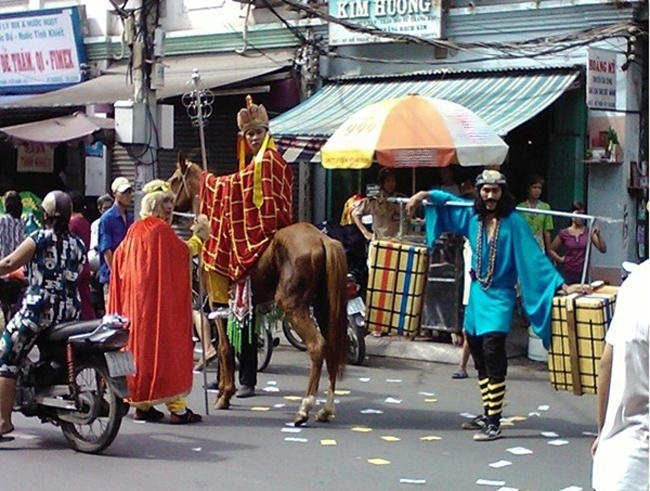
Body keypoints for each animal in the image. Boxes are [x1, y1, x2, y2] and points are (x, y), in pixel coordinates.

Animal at [167, 155, 350, 426]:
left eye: (174, 180)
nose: (168, 213)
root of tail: (322, 239)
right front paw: (223, 390)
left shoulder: (215, 305)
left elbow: (224, 348)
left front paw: (224, 395)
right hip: (324, 306)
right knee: (332, 350)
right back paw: (325, 410)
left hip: (293, 305)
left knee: (318, 347)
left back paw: (304, 409)